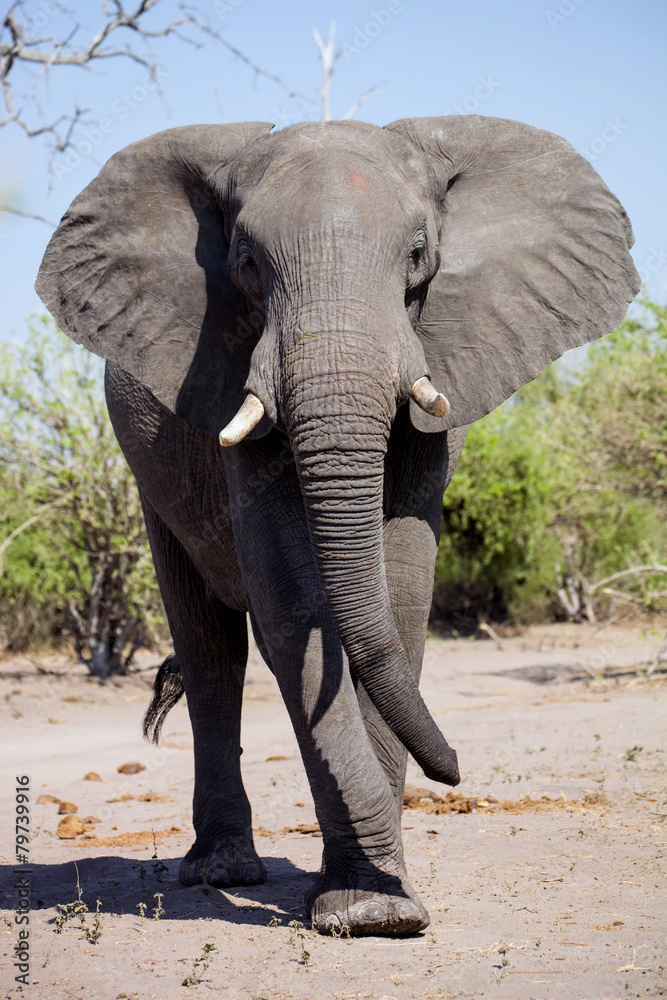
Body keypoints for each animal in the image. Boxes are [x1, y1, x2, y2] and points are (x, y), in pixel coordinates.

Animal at [36, 115, 640, 937]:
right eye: (246, 263)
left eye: (417, 255)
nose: (453, 770)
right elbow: (294, 605)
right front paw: (370, 910)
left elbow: (403, 590)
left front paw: (380, 903)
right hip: (151, 477)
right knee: (211, 647)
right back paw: (222, 870)